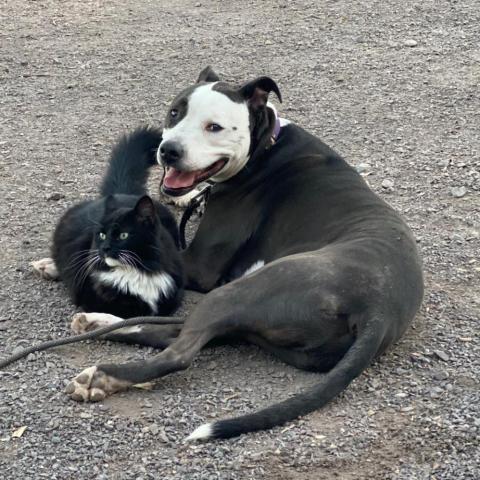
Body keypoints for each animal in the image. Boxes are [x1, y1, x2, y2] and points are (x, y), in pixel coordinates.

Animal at [31, 125, 185, 316]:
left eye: (123, 235)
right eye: (102, 235)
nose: (104, 248)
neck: (139, 271)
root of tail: (121, 193)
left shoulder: (171, 296)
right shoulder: (92, 296)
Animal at [64, 67, 424, 442]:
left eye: (214, 127)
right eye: (175, 113)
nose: (169, 150)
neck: (264, 148)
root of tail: (378, 310)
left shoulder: (198, 266)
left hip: (243, 289)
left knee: (178, 353)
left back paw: (102, 375)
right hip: (253, 315)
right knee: (174, 331)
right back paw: (98, 322)